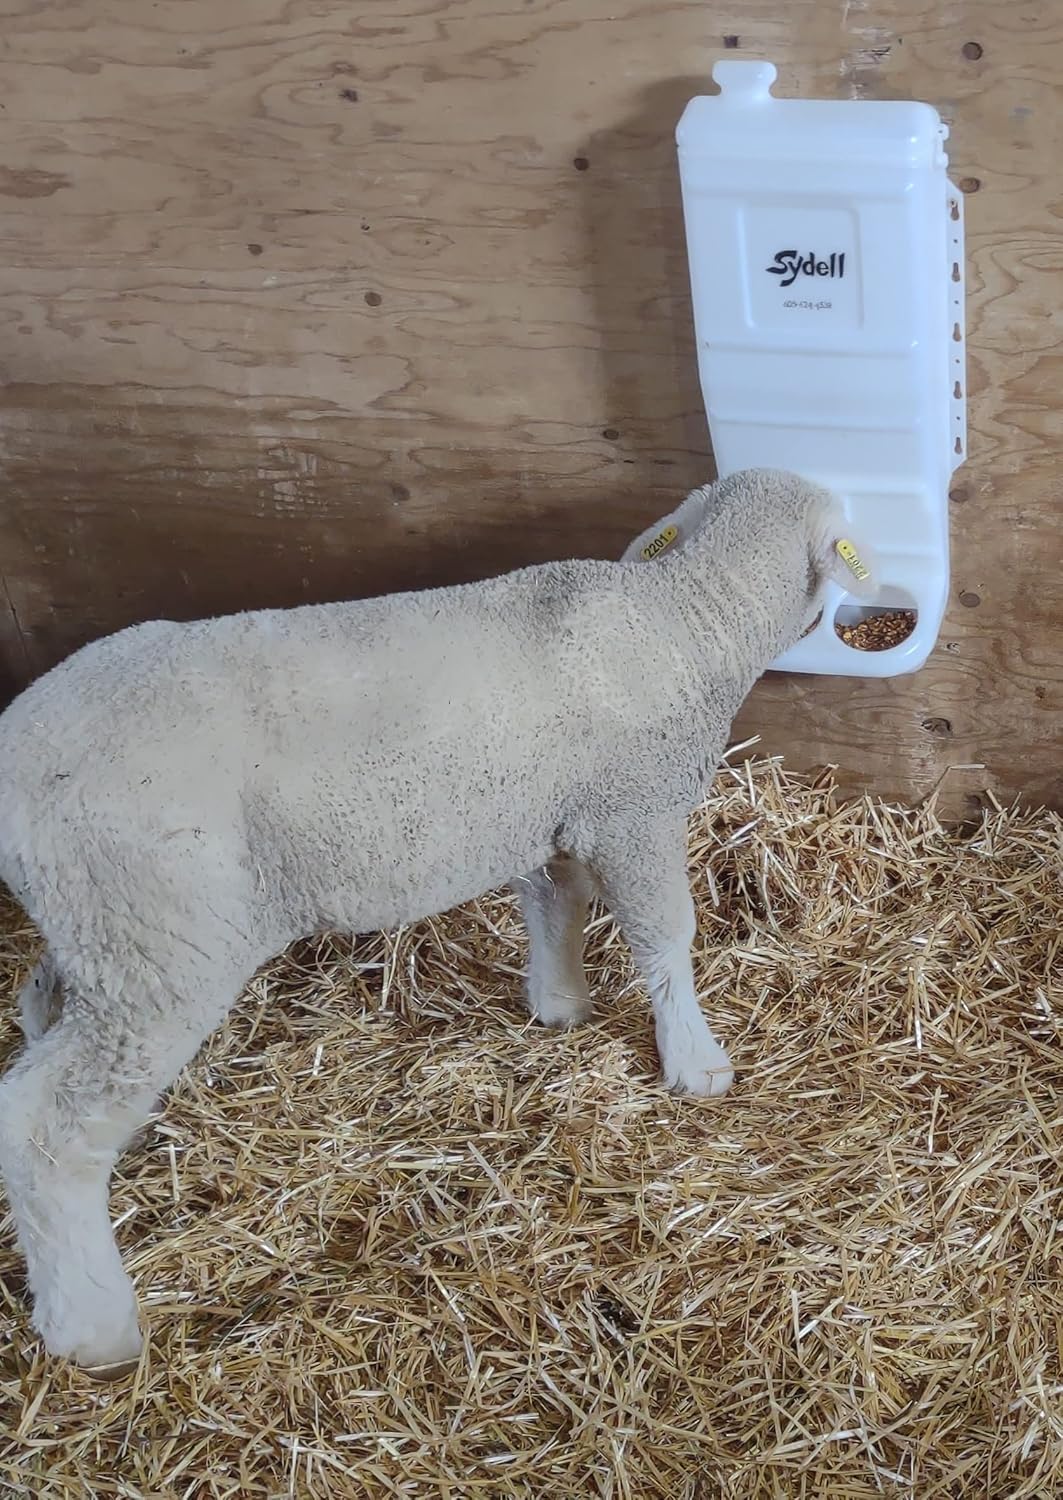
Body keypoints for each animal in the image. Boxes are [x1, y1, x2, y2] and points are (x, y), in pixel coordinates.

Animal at [0, 467, 875, 1371]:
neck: (688, 617)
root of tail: (16, 759)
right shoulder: (633, 813)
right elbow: (666, 937)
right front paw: (694, 1060)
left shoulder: (552, 813)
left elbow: (554, 902)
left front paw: (559, 1003)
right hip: (159, 939)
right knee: (40, 1127)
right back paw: (93, 1325)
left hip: (97, 929)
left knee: (42, 1012)